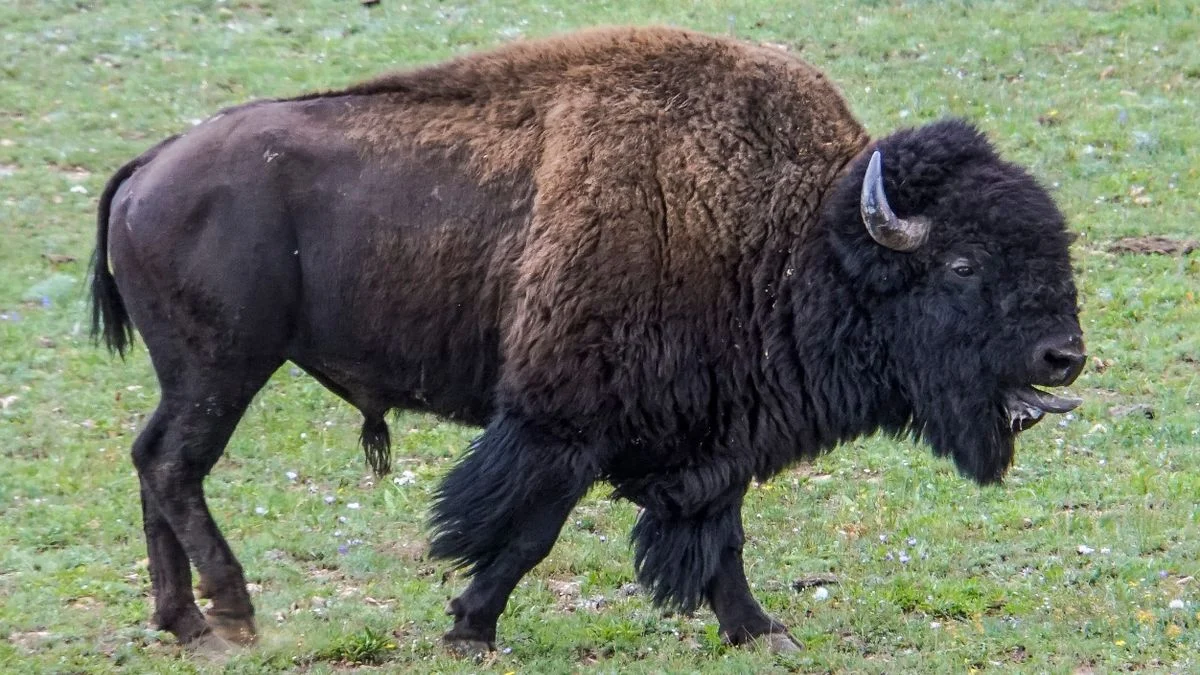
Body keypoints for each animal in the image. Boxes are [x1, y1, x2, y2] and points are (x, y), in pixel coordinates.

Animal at [91, 26, 1084, 654]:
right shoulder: (563, 425)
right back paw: (234, 613)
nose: (1064, 355)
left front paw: (762, 629)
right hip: (224, 368)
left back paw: (183, 622)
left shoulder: (710, 437)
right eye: (961, 263)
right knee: (175, 466)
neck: (797, 232)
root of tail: (150, 165)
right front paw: (470, 627)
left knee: (150, 461)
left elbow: (718, 537)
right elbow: (530, 532)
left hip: (195, 375)